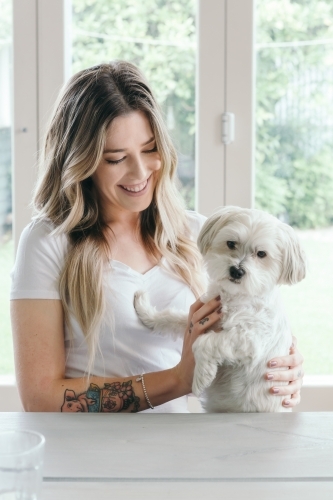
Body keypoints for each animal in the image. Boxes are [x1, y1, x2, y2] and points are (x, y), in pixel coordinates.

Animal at [134, 205, 304, 412]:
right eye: (231, 243)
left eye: (261, 254)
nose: (237, 270)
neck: (235, 297)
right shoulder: (199, 317)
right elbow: (170, 317)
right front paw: (146, 312)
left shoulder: (250, 339)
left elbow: (204, 342)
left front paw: (201, 377)